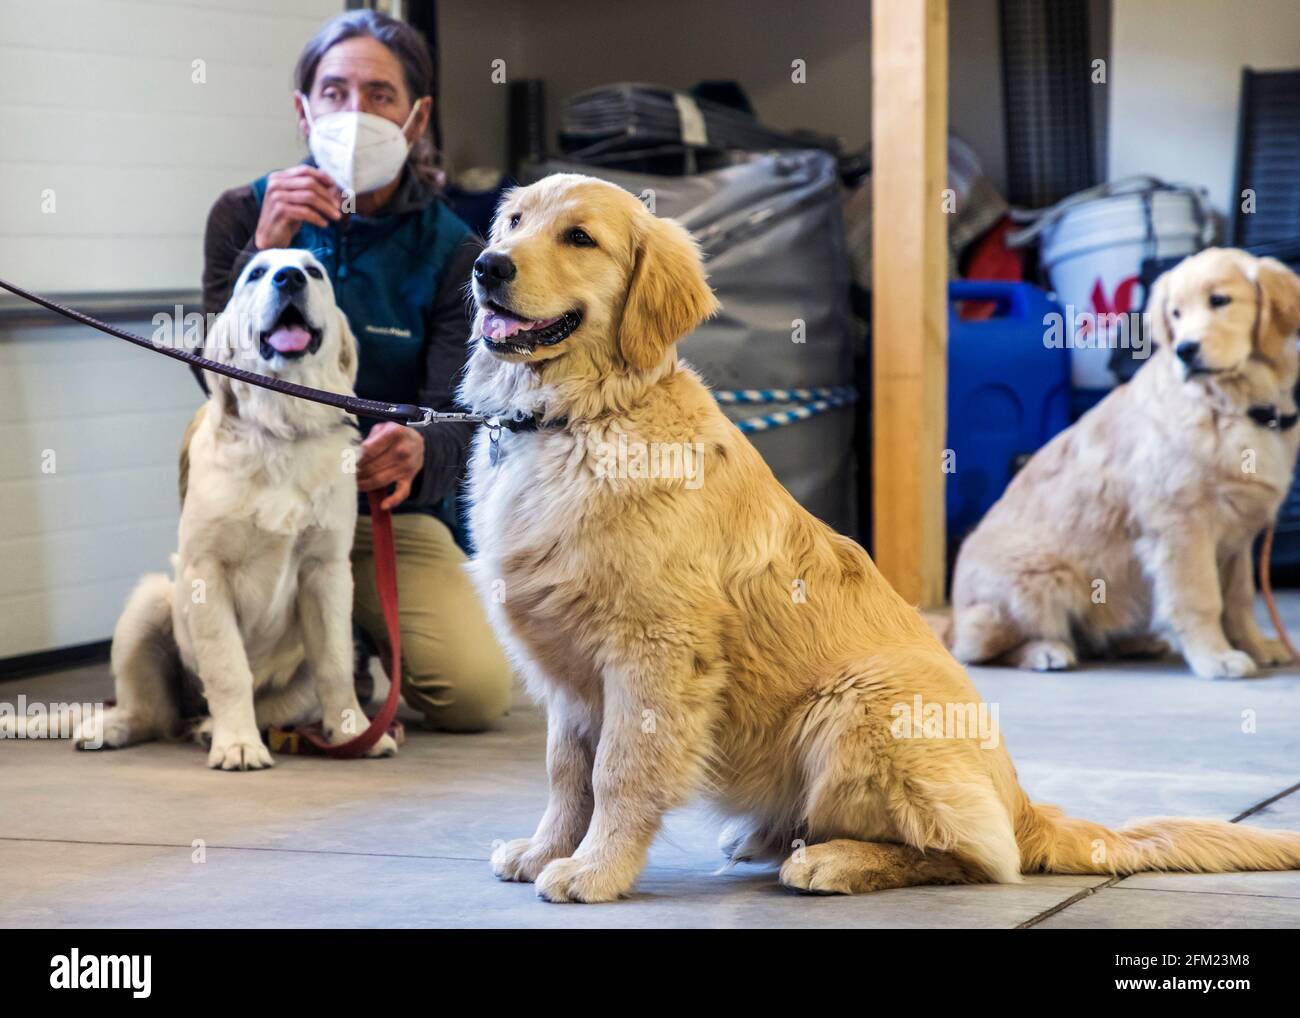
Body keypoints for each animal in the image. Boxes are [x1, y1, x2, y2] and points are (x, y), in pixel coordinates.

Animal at [70, 250, 392, 769]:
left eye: (314, 271)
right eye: (256, 273)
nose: (289, 278)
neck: (280, 428)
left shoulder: (326, 570)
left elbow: (336, 667)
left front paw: (355, 733)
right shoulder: (206, 571)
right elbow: (227, 666)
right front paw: (237, 744)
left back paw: (210, 729)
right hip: (151, 602)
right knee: (148, 712)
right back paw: (114, 726)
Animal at [951, 245, 1300, 676]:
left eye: (1220, 301)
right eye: (1175, 314)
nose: (1185, 350)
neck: (1230, 402)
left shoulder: (1241, 535)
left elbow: (1239, 598)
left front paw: (1256, 644)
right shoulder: (1180, 523)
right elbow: (1201, 596)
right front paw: (1215, 656)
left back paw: (1136, 643)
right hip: (1039, 580)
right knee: (978, 648)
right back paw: (1045, 651)